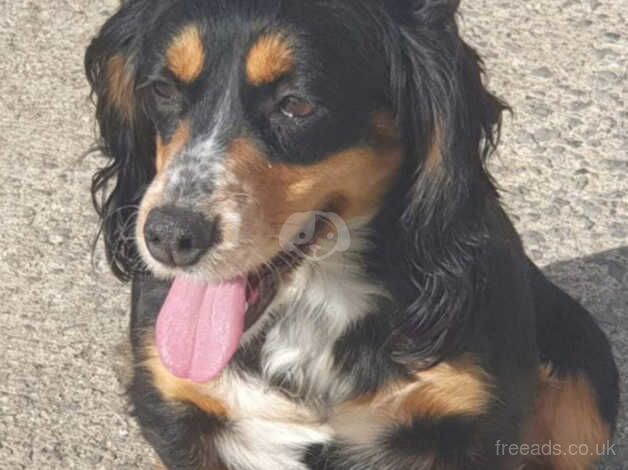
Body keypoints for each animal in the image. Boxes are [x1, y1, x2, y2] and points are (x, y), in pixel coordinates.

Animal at [84, 1, 620, 468]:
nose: (170, 236)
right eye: (162, 89)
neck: (316, 299)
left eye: (297, 105)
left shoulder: (481, 421)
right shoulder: (172, 407)